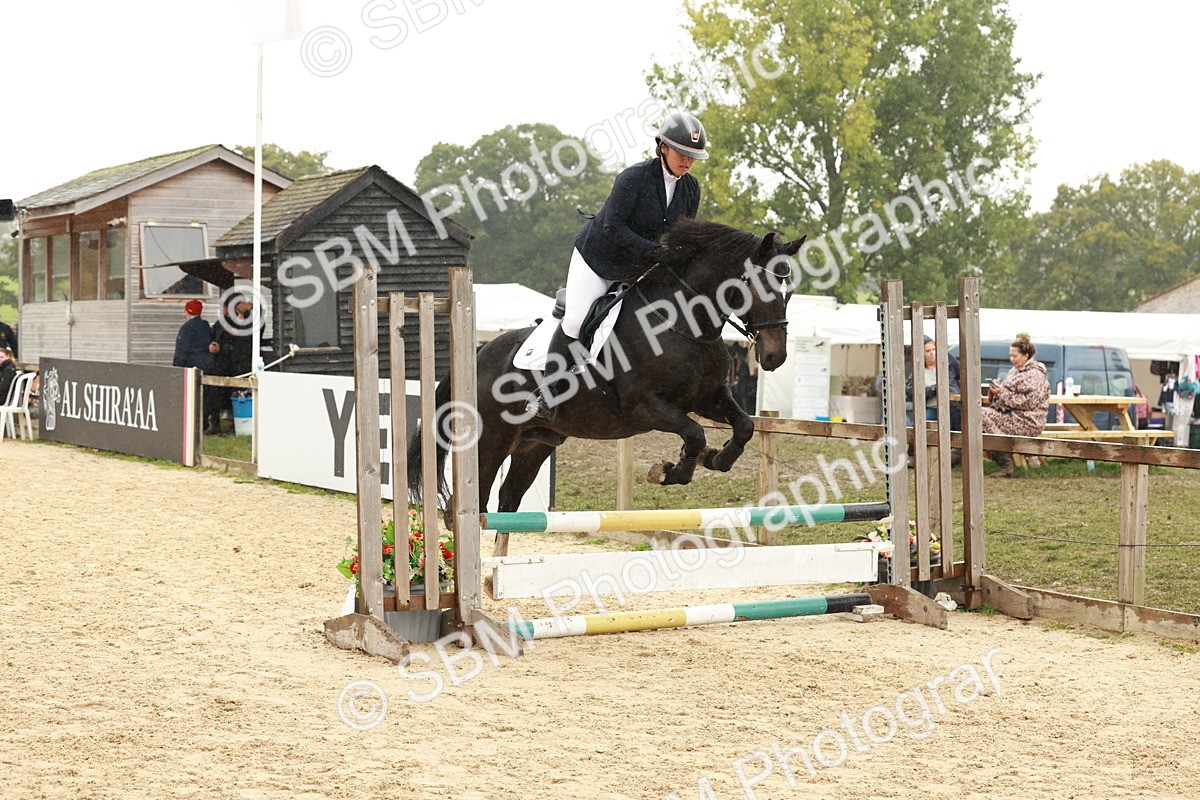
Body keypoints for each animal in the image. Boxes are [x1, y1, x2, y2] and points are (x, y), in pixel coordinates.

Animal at [408, 217, 806, 555]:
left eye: (789, 291)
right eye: (759, 286)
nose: (774, 357)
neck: (683, 324)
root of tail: (478, 355)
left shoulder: (708, 397)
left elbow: (745, 425)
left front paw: (716, 458)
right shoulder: (642, 406)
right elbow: (693, 433)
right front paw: (669, 472)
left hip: (535, 443)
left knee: (507, 500)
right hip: (491, 440)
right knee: (467, 505)